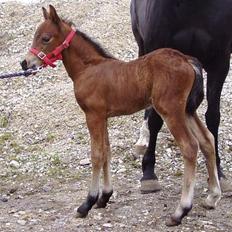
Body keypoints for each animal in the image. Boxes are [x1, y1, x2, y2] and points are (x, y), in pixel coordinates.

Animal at [21, 5, 221, 227]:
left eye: (45, 38)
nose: (25, 63)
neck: (88, 68)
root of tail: (187, 59)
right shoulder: (103, 117)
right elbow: (106, 152)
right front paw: (104, 197)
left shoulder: (93, 115)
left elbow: (97, 155)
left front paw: (87, 203)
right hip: (187, 110)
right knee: (207, 140)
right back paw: (212, 197)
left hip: (171, 110)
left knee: (190, 146)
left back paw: (180, 212)